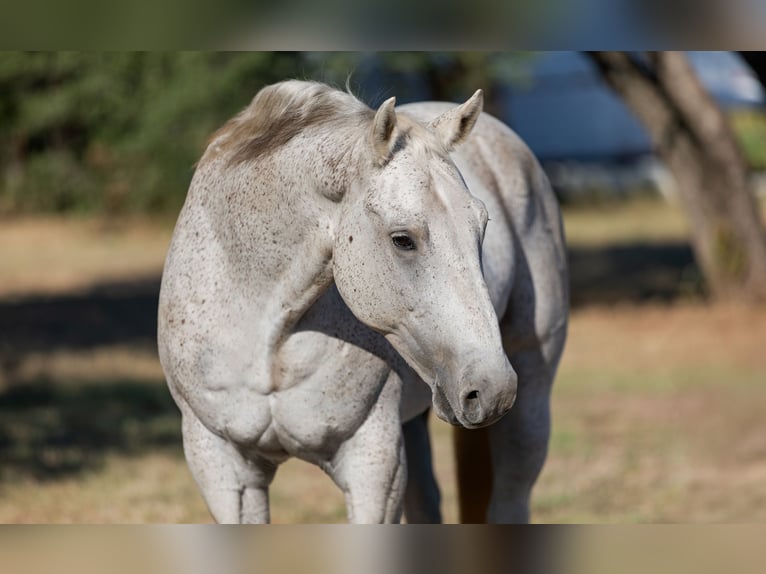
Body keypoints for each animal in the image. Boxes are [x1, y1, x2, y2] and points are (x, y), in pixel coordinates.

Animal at [158, 81, 568, 528]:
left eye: (482, 224)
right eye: (402, 239)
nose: (491, 388)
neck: (267, 339)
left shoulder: (374, 466)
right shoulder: (224, 468)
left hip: (530, 393)